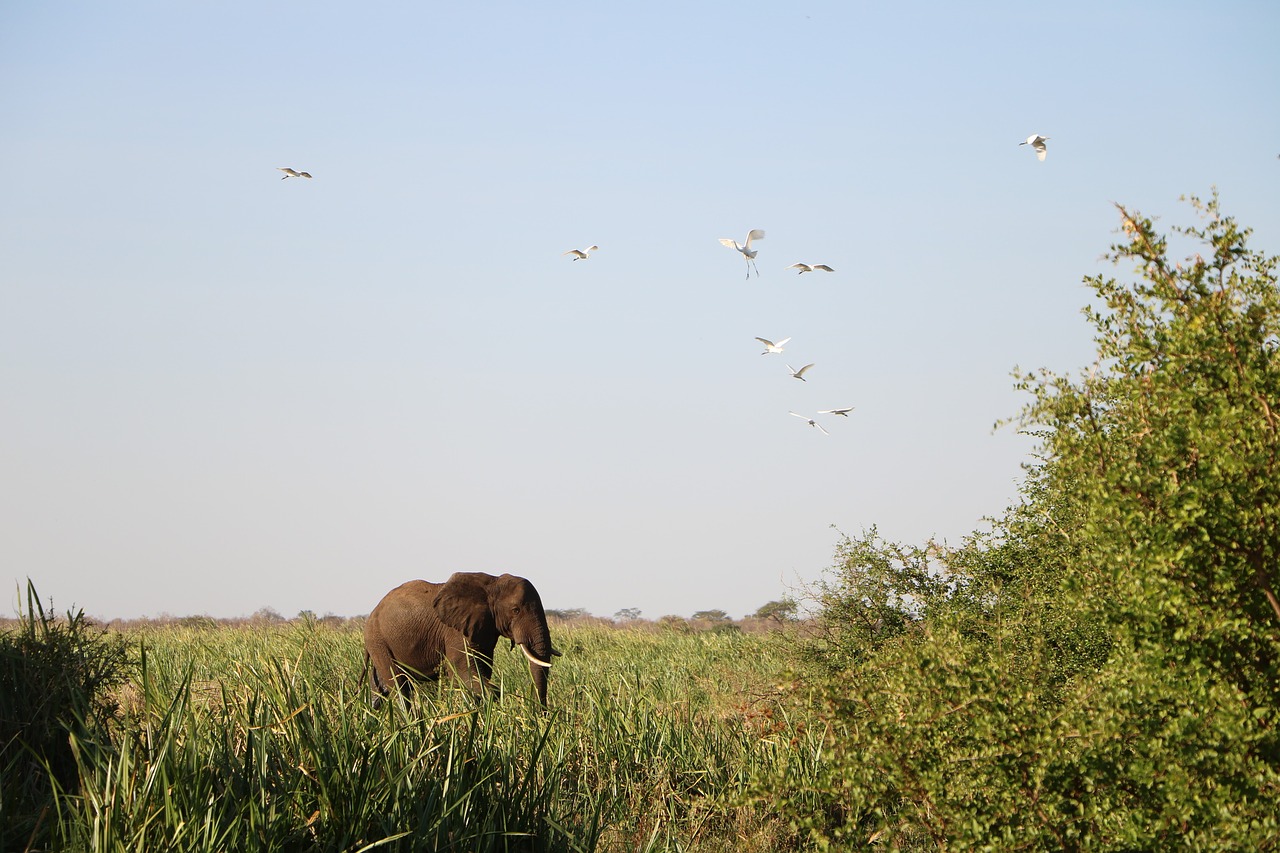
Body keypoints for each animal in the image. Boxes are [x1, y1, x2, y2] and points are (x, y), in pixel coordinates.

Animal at [363, 571, 558, 701]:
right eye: (515, 610)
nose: (540, 714)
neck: (492, 583)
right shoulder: (455, 631)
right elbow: (464, 673)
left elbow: (481, 670)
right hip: (378, 641)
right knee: (399, 687)